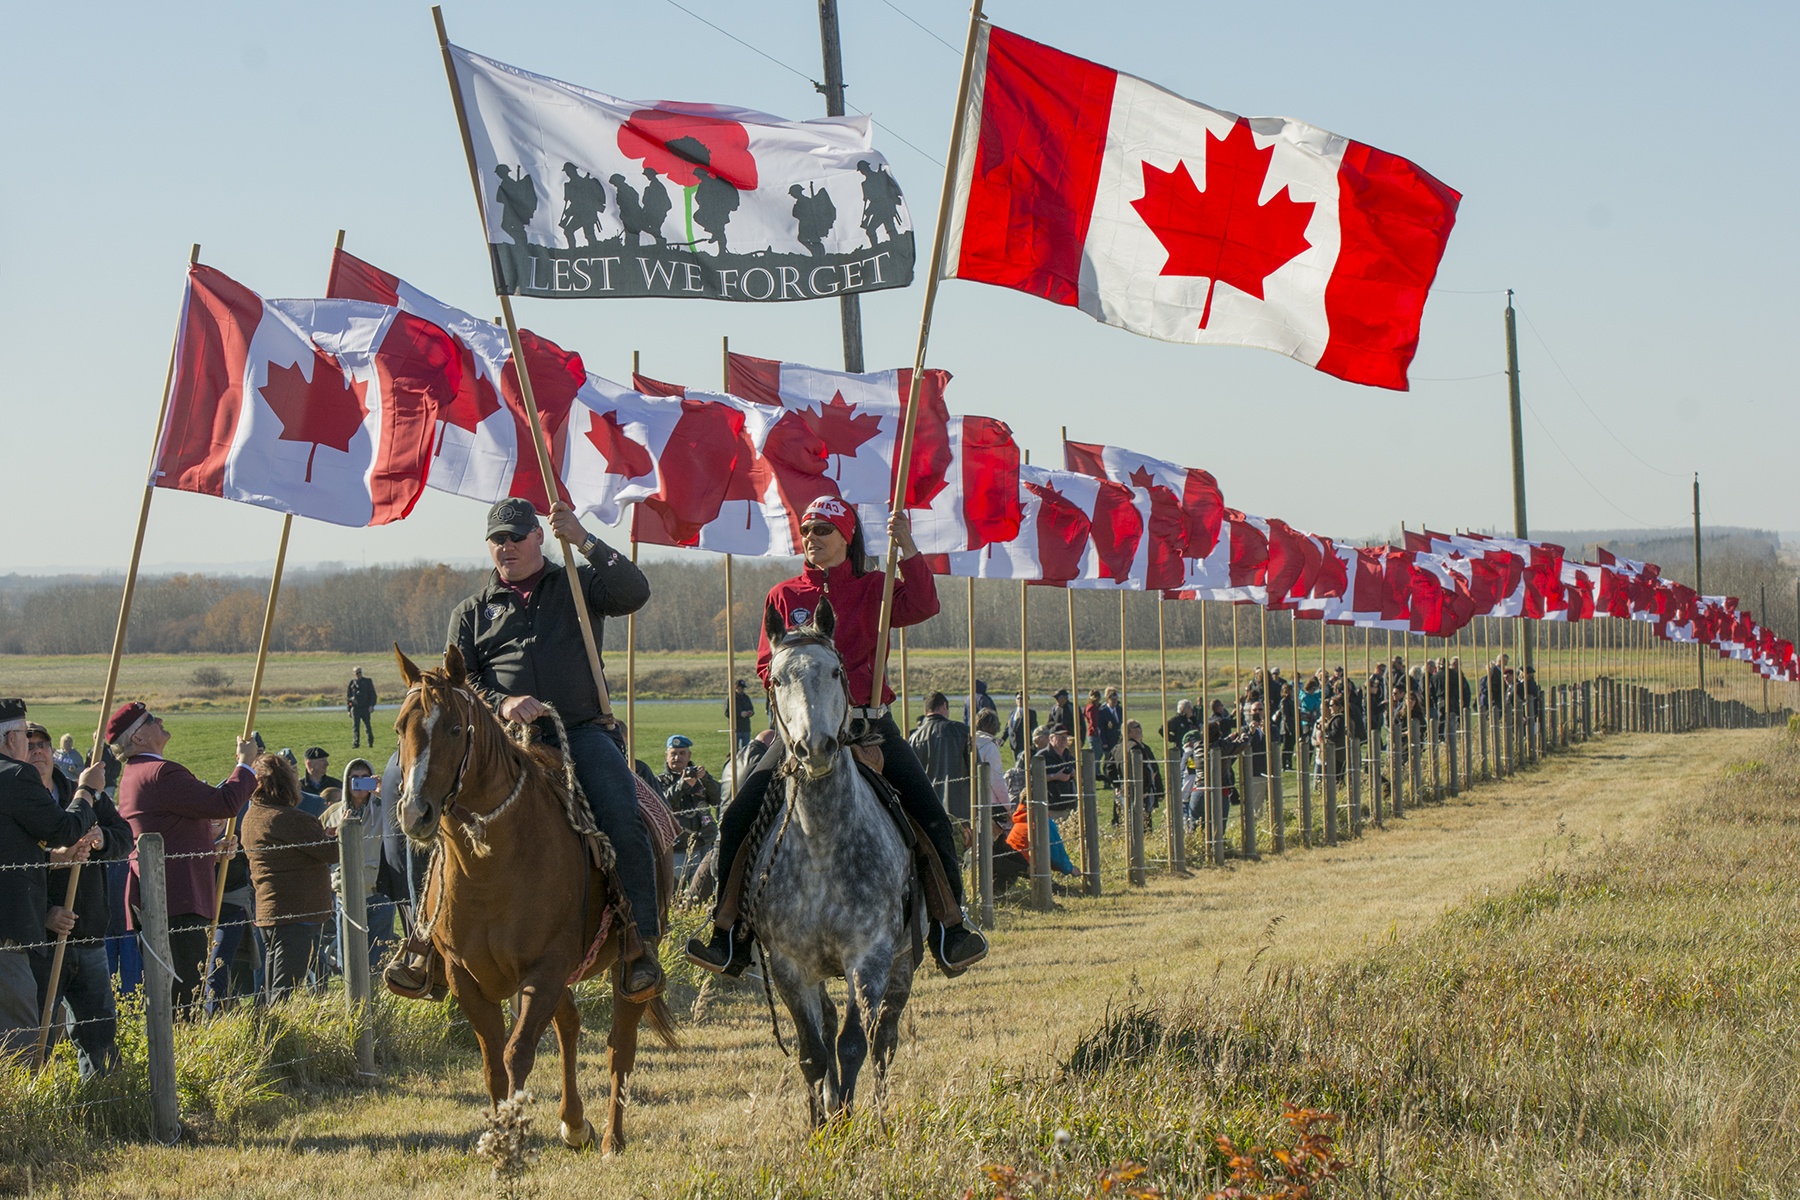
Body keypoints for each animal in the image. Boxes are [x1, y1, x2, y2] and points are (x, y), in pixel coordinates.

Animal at [394, 647, 676, 1151]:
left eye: (454, 728)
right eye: (399, 728)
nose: (415, 813)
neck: (491, 868)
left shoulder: (544, 969)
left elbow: (517, 1054)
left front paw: (511, 1139)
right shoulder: (465, 976)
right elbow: (493, 1064)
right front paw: (499, 1139)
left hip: (627, 963)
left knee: (619, 1044)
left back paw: (611, 1138)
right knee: (571, 1024)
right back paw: (574, 1123)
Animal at [748, 600, 921, 1129]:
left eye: (835, 671)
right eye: (776, 678)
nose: (816, 748)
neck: (821, 844)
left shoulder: (871, 956)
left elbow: (852, 1045)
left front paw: (846, 1122)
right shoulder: (788, 967)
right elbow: (812, 1052)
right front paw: (821, 1125)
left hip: (904, 965)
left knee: (884, 1041)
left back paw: (881, 1114)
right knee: (826, 1028)